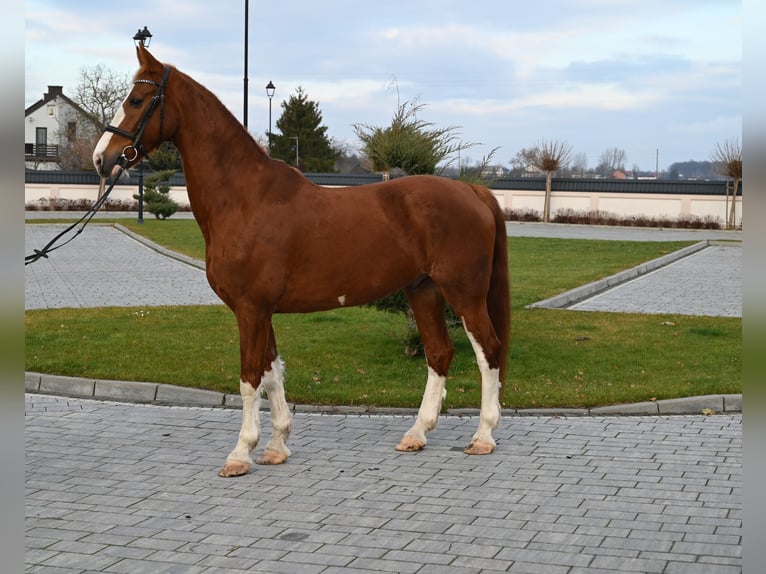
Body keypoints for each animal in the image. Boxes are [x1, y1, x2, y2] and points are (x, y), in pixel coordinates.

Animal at [93, 45, 510, 480]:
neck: (245, 198)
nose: (101, 159)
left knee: (489, 351)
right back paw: (416, 434)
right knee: (439, 354)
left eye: (136, 100)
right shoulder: (262, 311)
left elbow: (250, 377)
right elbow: (272, 372)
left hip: (464, 294)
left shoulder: (250, 310)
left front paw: (240, 453)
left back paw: (483, 436)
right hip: (423, 291)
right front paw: (276, 446)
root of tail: (472, 190)